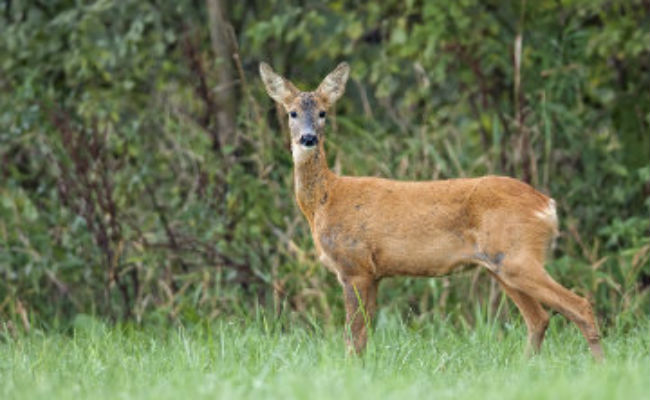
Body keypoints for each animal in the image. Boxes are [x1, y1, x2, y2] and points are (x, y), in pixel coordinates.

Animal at [258, 61, 604, 360]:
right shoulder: (373, 273)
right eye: (291, 112)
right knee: (540, 319)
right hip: (502, 264)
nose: (308, 138)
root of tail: (547, 205)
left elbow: (352, 336)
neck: (325, 200)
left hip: (517, 256)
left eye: (323, 112)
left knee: (580, 306)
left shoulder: (354, 266)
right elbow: (364, 335)